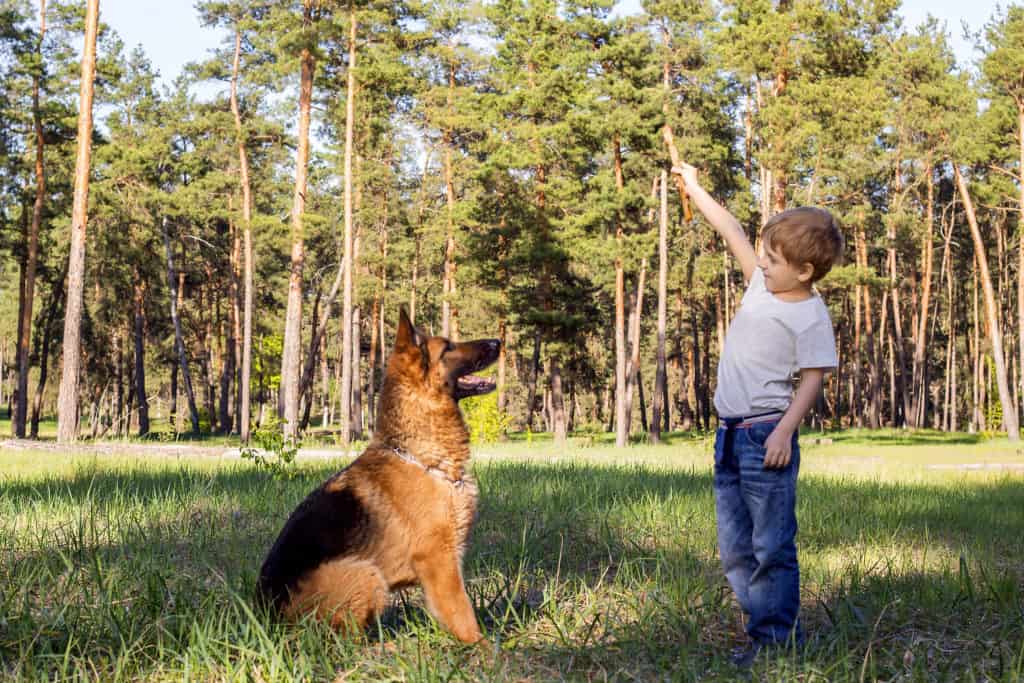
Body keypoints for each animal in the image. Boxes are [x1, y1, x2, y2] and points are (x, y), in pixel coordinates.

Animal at [256, 309, 495, 643]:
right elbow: (463, 614)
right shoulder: (440, 562)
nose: (498, 342)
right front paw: (485, 648)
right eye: (447, 347)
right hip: (365, 574)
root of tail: (268, 620)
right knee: (344, 641)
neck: (418, 456)